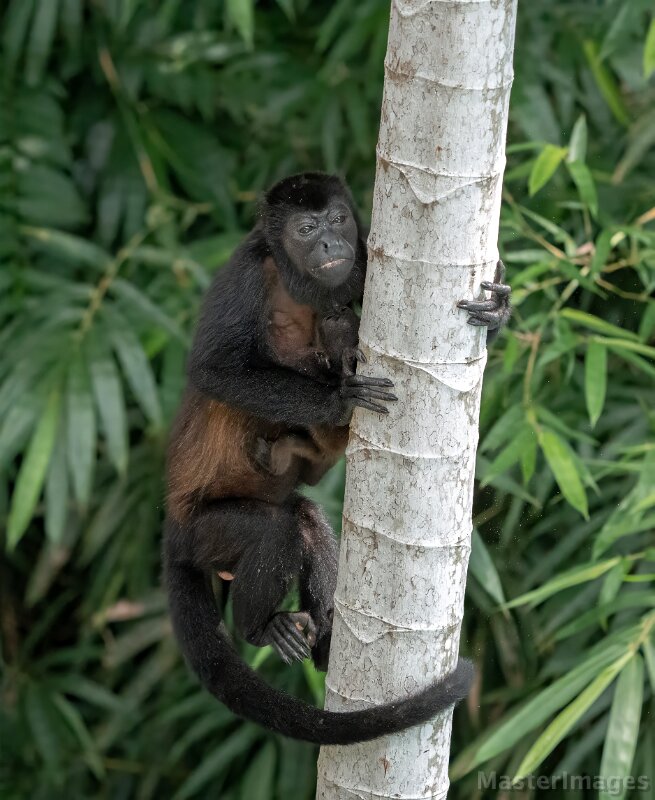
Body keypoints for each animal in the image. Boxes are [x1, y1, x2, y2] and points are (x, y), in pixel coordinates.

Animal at [164, 172, 511, 745]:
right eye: (306, 229)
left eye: (338, 219)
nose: (330, 244)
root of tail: (171, 531)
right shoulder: (243, 272)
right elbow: (214, 369)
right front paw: (339, 399)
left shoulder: (366, 257)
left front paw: (499, 312)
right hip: (201, 533)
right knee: (273, 531)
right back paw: (261, 628)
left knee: (305, 521)